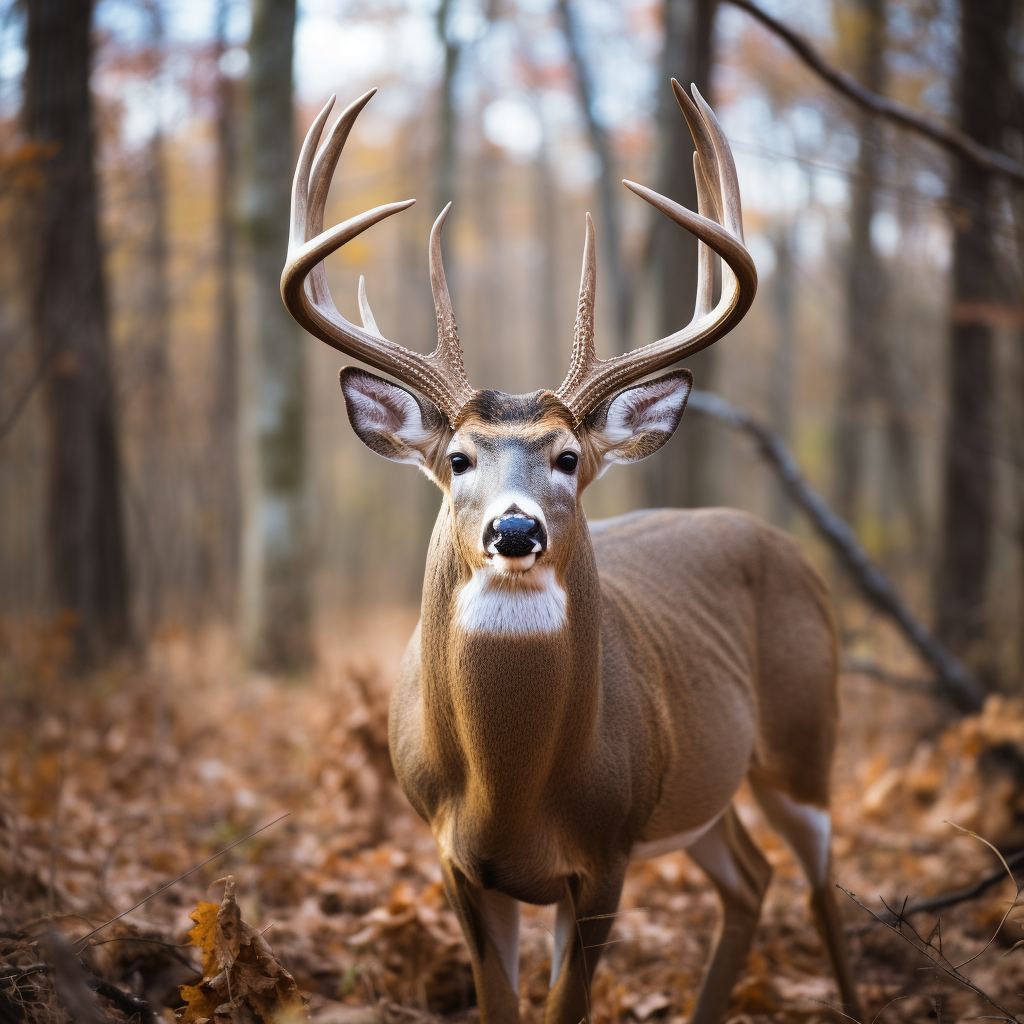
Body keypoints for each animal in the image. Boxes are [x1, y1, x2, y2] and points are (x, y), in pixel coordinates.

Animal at [282, 83, 864, 1024]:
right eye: (457, 459)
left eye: (565, 458)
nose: (515, 532)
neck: (509, 792)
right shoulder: (458, 861)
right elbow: (499, 1003)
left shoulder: (605, 853)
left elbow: (566, 1007)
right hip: (703, 791)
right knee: (751, 880)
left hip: (805, 740)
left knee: (821, 885)